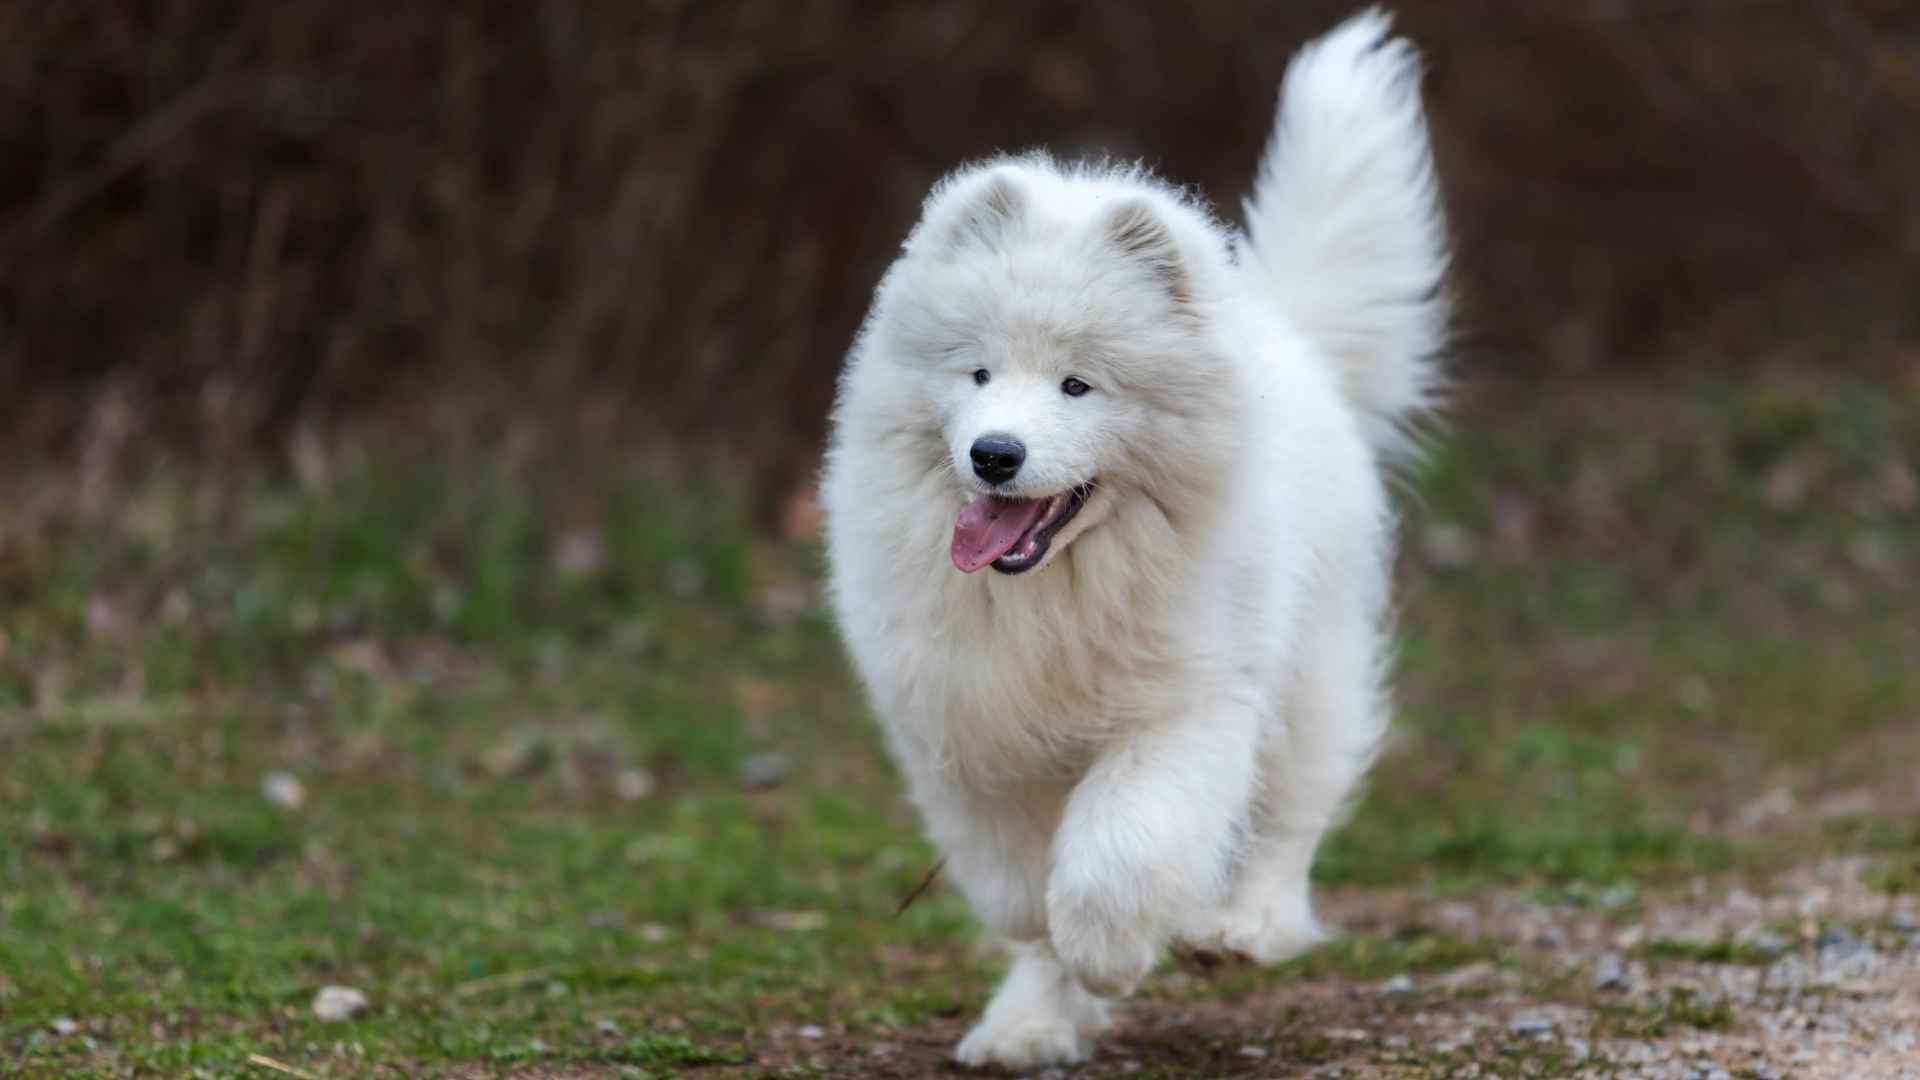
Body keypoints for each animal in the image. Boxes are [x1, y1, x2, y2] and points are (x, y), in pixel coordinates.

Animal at [817, 10, 1443, 1068]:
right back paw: (1023, 1028)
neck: (1055, 589)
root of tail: (1289, 337)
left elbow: (1119, 851)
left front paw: (1112, 953)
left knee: (1292, 813)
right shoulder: (960, 724)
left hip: (1310, 667)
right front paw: (1049, 974)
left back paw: (1243, 929)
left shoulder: (1183, 711)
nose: (994, 454)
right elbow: (1016, 881)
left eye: (1079, 385)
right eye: (977, 373)